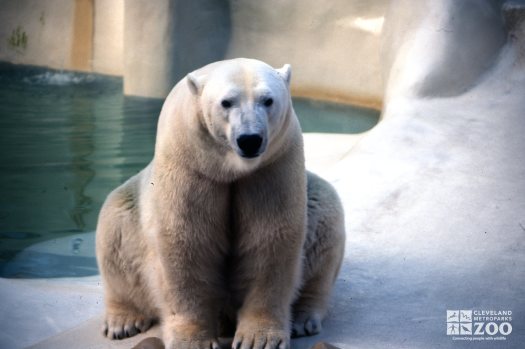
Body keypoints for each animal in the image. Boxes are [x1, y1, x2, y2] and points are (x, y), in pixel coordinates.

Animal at [96, 57, 346, 348]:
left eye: (268, 100)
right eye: (227, 102)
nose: (250, 139)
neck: (229, 169)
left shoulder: (271, 168)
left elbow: (269, 241)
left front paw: (258, 339)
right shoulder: (192, 168)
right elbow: (186, 243)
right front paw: (193, 341)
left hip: (313, 196)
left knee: (326, 219)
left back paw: (303, 319)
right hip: (130, 205)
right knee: (114, 231)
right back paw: (123, 321)